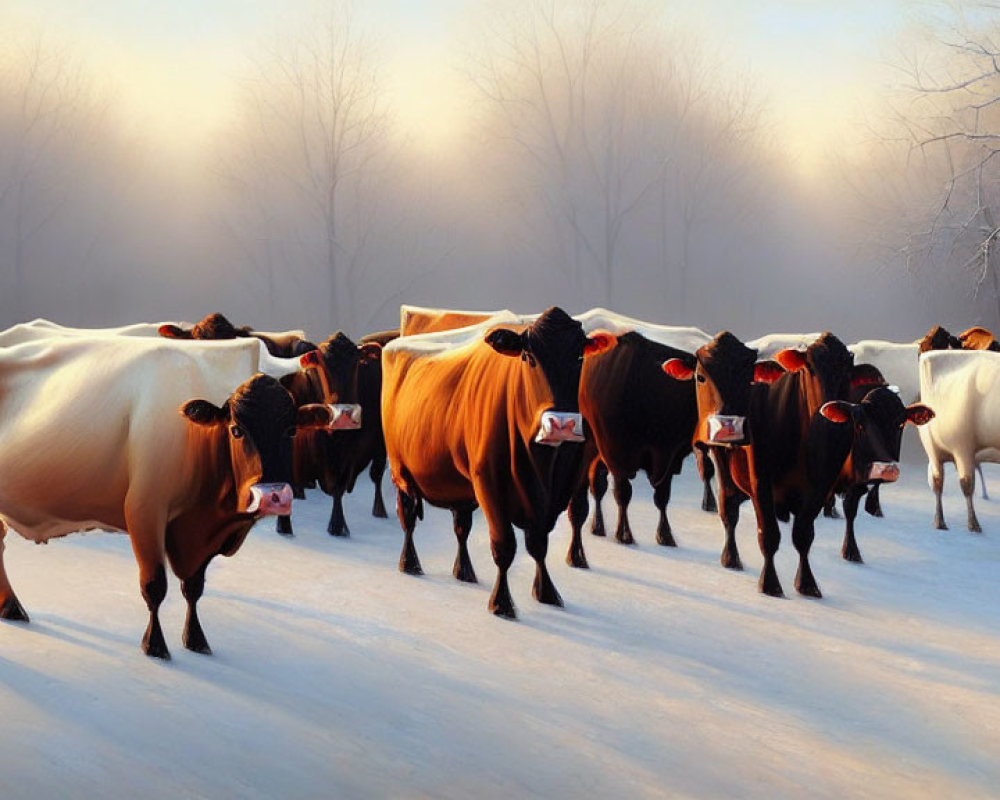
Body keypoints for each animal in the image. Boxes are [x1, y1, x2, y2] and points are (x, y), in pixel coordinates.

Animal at [0, 334, 336, 660]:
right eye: (236, 430)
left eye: (292, 430)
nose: (274, 496)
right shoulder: (145, 510)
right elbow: (155, 585)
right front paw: (155, 645)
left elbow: (194, 587)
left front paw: (196, 638)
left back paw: (11, 607)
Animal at [382, 308, 612, 620]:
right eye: (528, 356)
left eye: (579, 357)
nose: (561, 425)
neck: (543, 469)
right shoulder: (489, 483)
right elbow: (504, 546)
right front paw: (502, 603)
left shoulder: (557, 493)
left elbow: (538, 544)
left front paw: (546, 592)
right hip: (401, 473)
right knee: (407, 518)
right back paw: (410, 564)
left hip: (459, 487)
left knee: (461, 526)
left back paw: (464, 572)